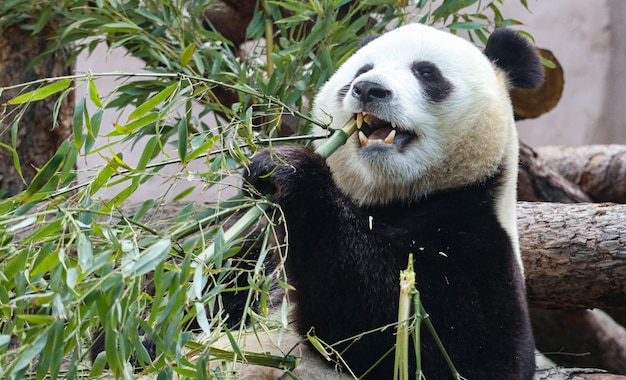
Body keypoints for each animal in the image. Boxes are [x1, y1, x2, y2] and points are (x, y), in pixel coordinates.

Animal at [223, 22, 540, 378]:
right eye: (363, 70)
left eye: (426, 72)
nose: (369, 89)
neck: (389, 198)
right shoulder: (255, 245)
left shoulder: (476, 234)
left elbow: (451, 345)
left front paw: (291, 169)